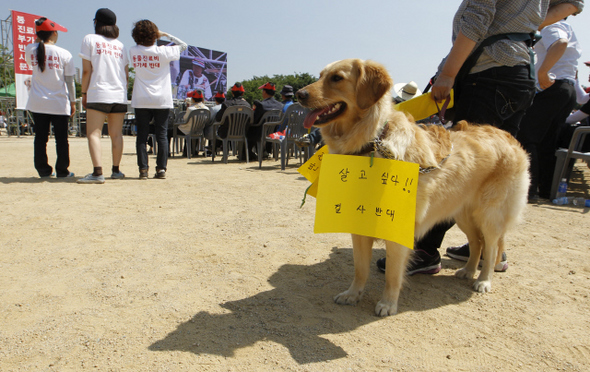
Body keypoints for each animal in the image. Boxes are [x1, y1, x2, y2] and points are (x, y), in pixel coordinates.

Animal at [296, 59, 532, 316]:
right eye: (320, 76)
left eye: (337, 78)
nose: (298, 94)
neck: (371, 144)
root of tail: (508, 136)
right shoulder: (360, 225)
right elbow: (360, 269)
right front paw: (353, 294)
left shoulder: (397, 227)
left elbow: (392, 273)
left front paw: (388, 304)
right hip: (462, 214)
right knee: (477, 243)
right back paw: (468, 271)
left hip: (489, 215)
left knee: (490, 247)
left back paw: (484, 280)